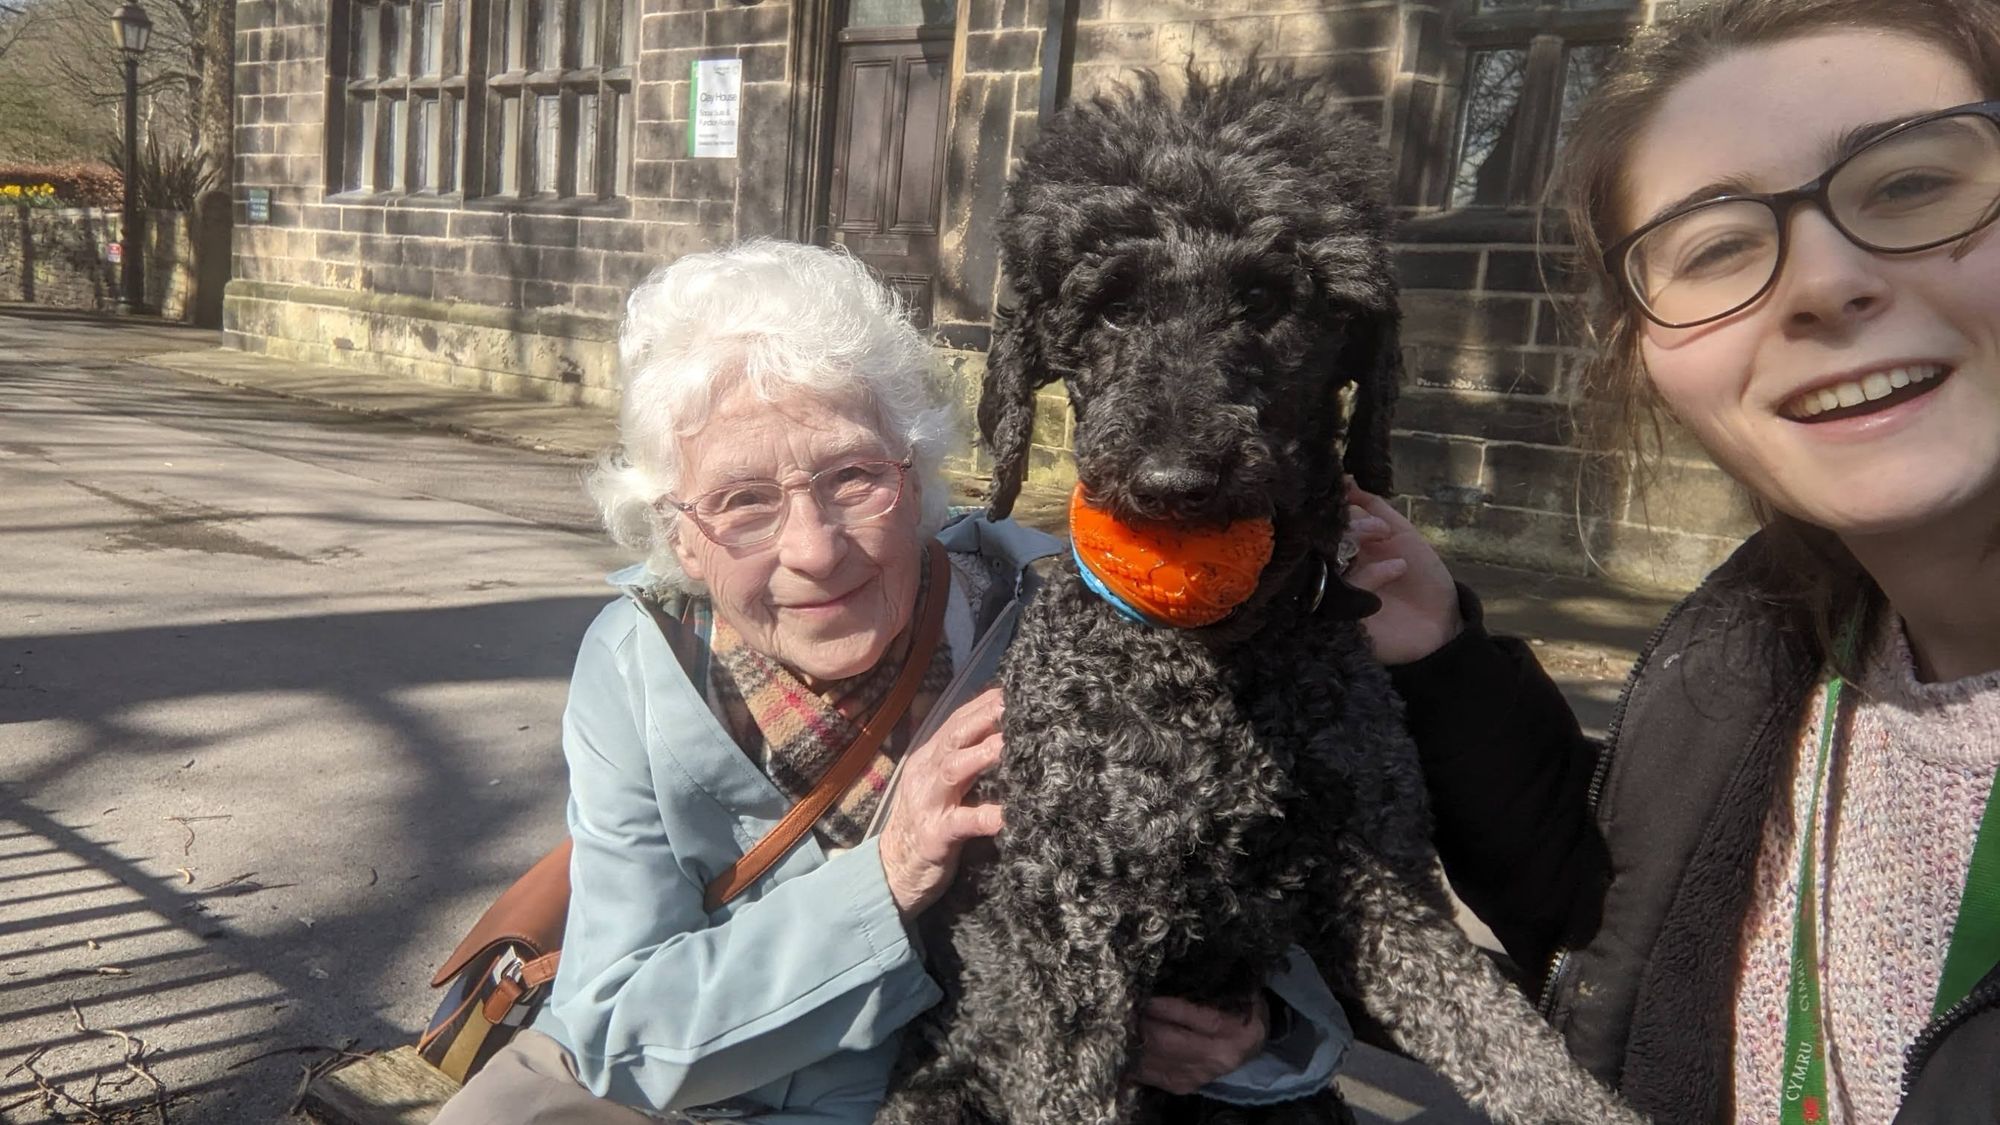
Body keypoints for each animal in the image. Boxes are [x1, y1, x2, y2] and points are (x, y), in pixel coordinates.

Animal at [876, 72, 1640, 1120]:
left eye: (1270, 301)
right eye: (1111, 311)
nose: (1173, 481)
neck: (1216, 657)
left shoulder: (1381, 885)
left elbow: (1506, 1042)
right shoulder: (1070, 942)